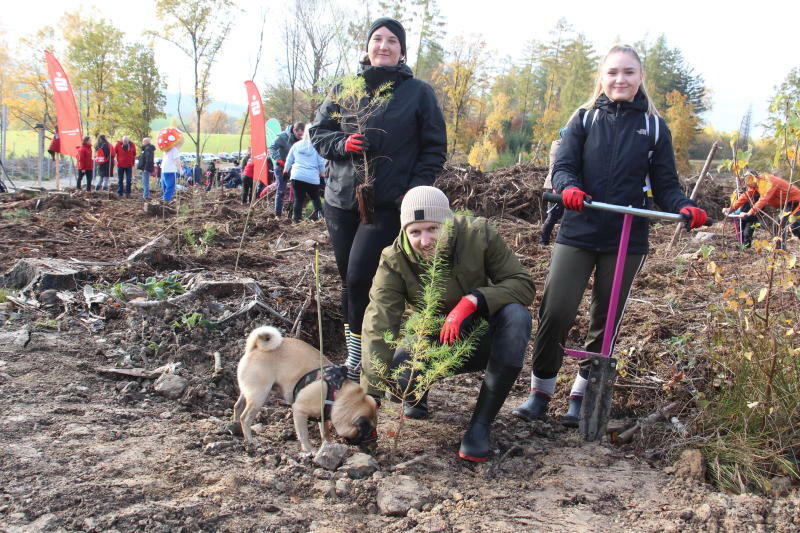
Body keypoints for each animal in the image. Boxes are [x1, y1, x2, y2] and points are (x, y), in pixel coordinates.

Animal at [233, 326, 380, 450]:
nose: (371, 443)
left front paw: (328, 444)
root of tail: (255, 348)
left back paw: (235, 428)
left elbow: (325, 432)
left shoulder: (323, 415)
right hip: (259, 395)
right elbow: (304, 434)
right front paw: (309, 449)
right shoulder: (299, 410)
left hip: (249, 393)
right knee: (245, 418)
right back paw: (250, 440)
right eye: (365, 434)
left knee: (237, 406)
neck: (338, 393)